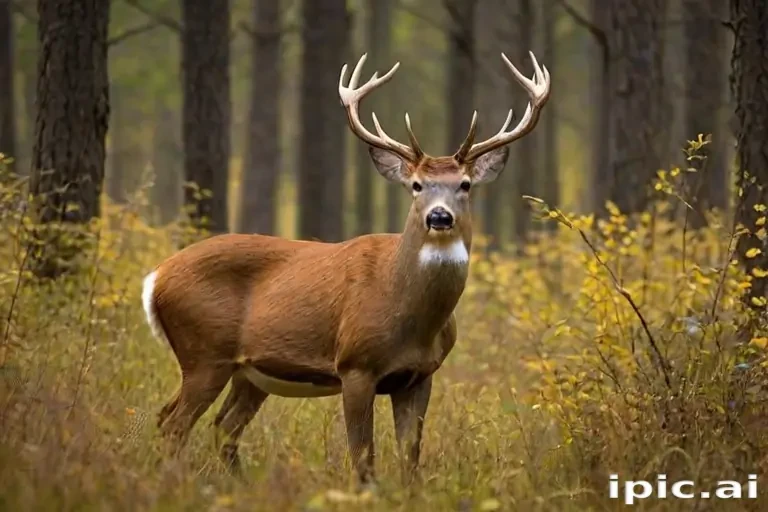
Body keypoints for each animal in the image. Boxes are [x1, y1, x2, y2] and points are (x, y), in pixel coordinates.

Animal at [141, 50, 550, 487]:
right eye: (417, 185)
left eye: (466, 184)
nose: (439, 217)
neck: (408, 314)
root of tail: (156, 277)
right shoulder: (355, 365)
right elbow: (363, 458)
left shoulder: (420, 375)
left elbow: (410, 459)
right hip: (204, 352)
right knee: (173, 424)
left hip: (247, 372)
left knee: (220, 427)